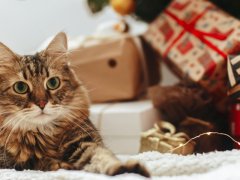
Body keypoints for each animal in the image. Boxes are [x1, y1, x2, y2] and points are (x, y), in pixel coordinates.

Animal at [0, 32, 150, 177]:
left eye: (53, 83)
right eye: (20, 87)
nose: (42, 103)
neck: (44, 133)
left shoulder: (84, 141)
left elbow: (101, 155)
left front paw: (122, 168)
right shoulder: (8, 162)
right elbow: (33, 162)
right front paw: (59, 165)